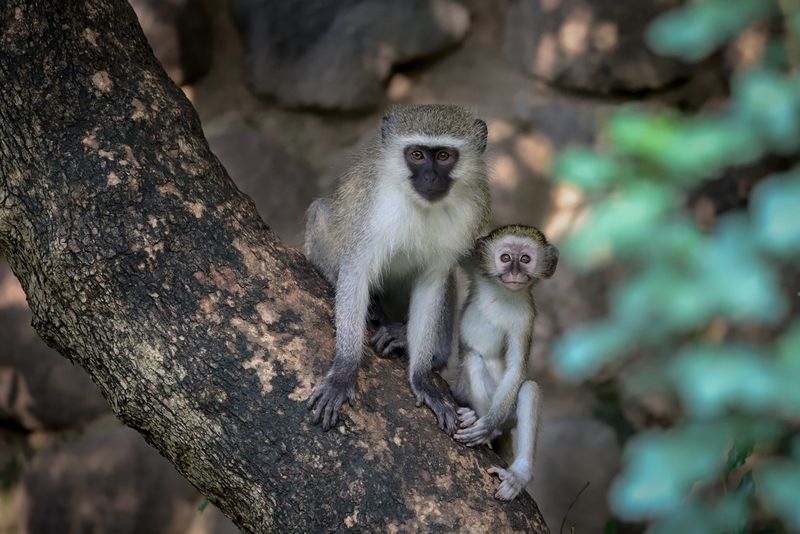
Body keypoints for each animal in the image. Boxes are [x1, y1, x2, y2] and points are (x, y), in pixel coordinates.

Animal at [304, 104, 491, 435]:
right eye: (416, 155)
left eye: (444, 156)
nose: (430, 177)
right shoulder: (372, 207)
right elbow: (356, 267)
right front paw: (344, 370)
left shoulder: (470, 213)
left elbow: (433, 280)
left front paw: (422, 379)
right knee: (321, 213)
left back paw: (423, 346)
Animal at [452, 225, 558, 501]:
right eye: (506, 257)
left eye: (526, 259)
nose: (515, 273)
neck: (502, 292)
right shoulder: (478, 271)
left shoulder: (525, 319)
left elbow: (516, 369)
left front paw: (487, 425)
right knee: (473, 359)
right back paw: (474, 416)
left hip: (507, 412)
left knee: (529, 389)